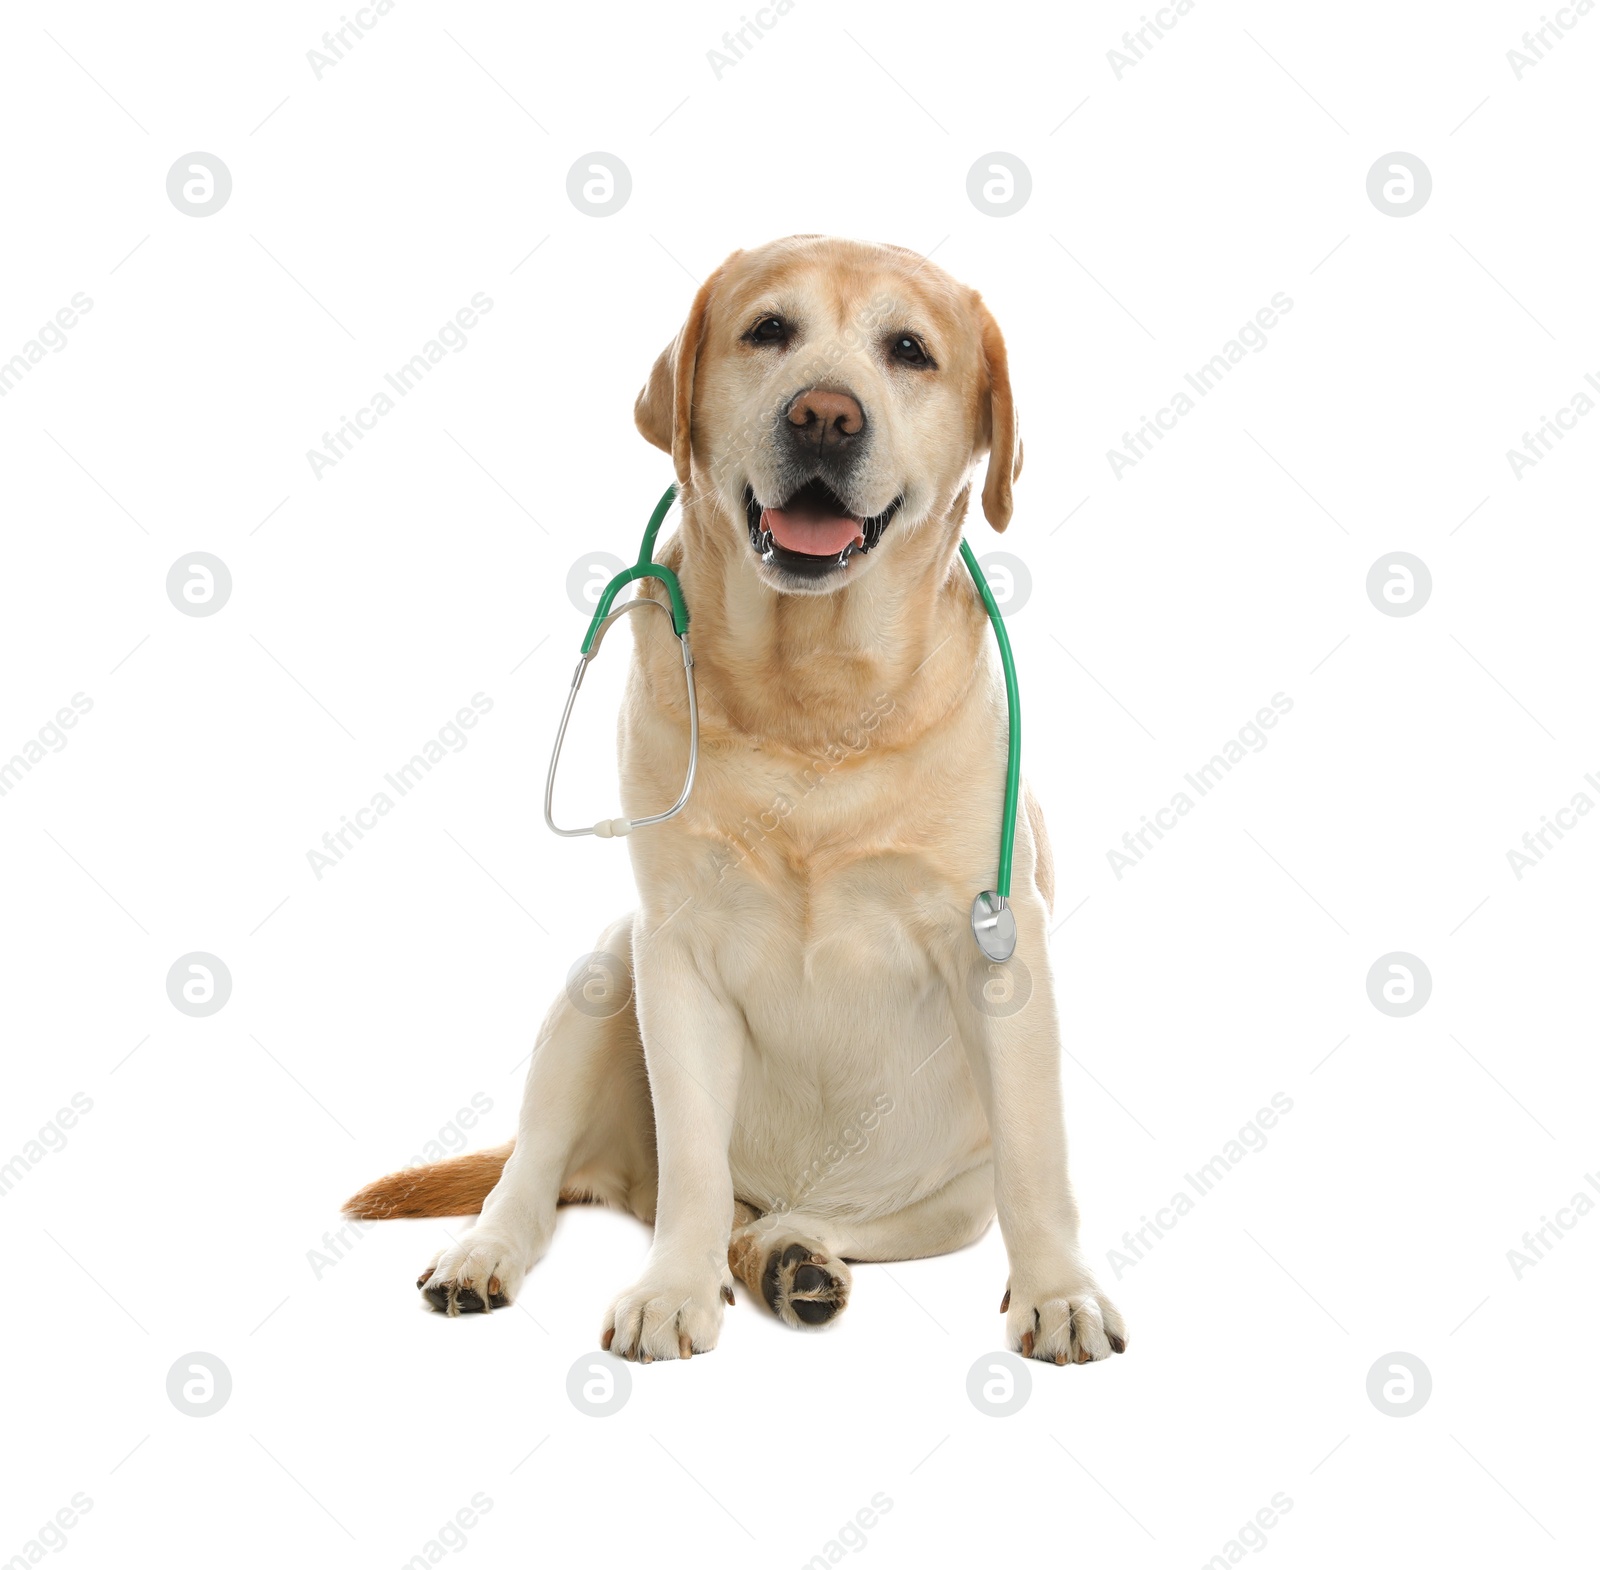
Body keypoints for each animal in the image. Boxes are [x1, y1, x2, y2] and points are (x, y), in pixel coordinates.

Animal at [345, 230, 1132, 1357]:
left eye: (908, 349)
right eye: (769, 329)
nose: (824, 415)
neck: (811, 689)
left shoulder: (1001, 945)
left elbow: (1040, 1156)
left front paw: (1058, 1291)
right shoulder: (674, 950)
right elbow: (693, 1160)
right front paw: (671, 1288)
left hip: (942, 1202)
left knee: (817, 1219)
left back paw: (790, 1258)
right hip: (601, 978)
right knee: (537, 1174)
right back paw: (492, 1253)